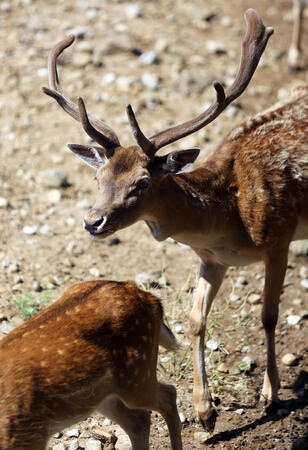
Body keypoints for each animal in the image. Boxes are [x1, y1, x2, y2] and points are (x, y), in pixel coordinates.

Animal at [0, 280, 183, 448]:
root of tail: (150, 297)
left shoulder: (30, 437)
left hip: (137, 376)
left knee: (168, 395)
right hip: (103, 394)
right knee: (139, 420)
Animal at [43, 8, 308, 430]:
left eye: (142, 181)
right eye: (99, 178)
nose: (92, 222)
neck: (233, 220)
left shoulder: (279, 240)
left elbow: (269, 316)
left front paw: (270, 395)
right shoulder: (212, 260)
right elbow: (196, 319)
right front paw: (205, 413)